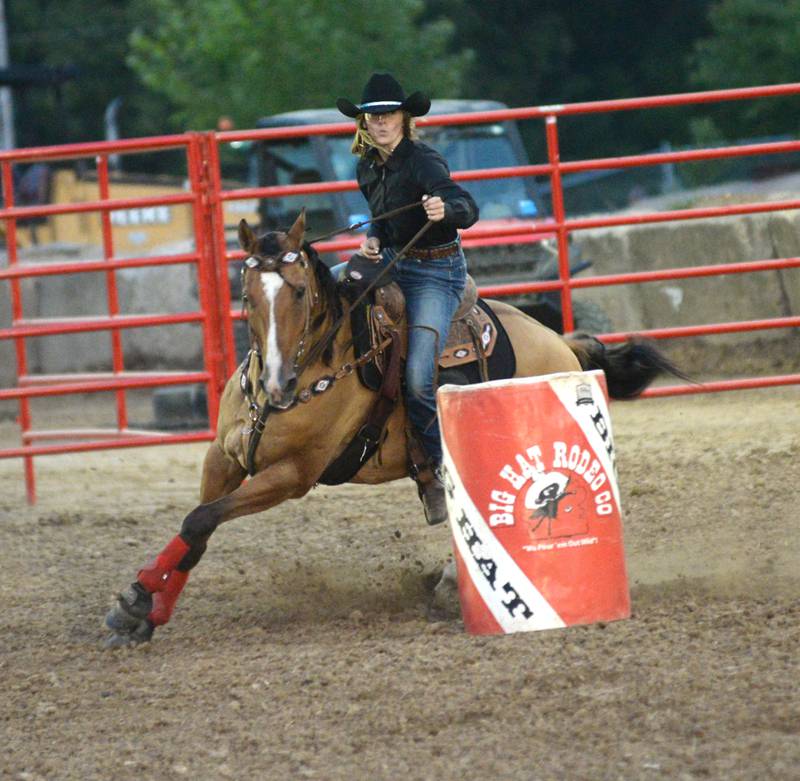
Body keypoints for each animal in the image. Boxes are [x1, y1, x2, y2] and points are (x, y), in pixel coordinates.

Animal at [104, 211, 684, 646]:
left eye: (298, 292)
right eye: (247, 294)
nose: (277, 381)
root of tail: (561, 341)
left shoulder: (291, 476)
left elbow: (200, 519)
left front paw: (137, 601)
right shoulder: (223, 458)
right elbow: (196, 529)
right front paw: (142, 611)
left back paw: (450, 585)